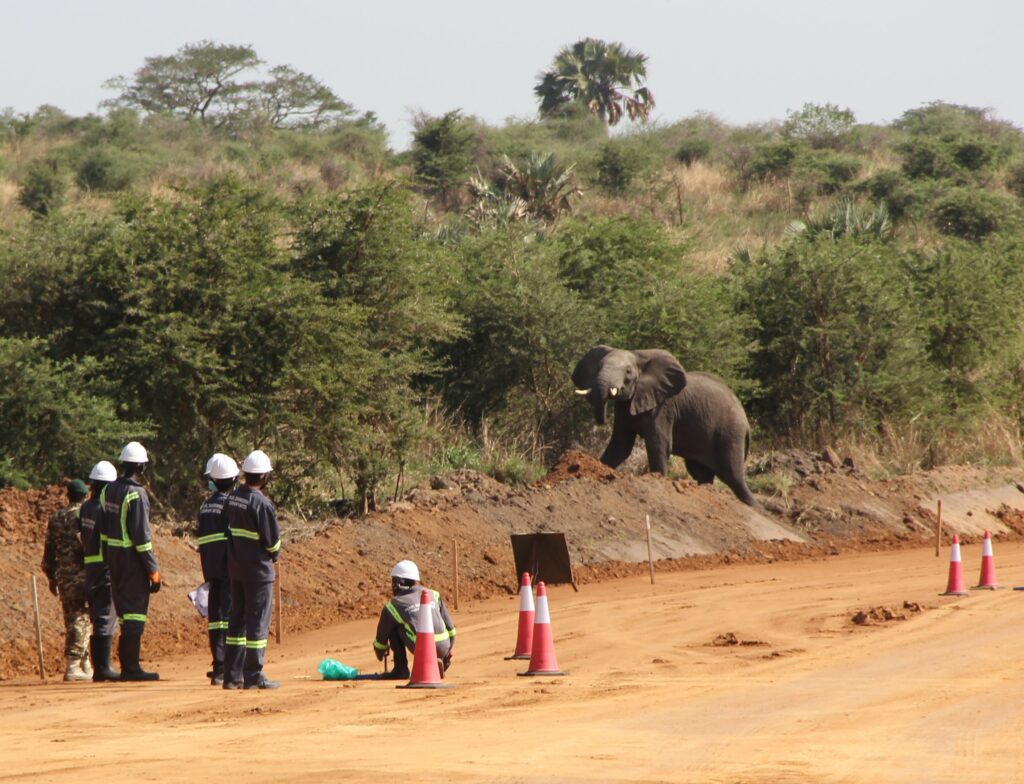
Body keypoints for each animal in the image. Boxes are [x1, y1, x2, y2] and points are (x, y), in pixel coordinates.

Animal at [573, 345, 757, 507]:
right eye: (598, 367)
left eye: (628, 372)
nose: (601, 422)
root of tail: (746, 422)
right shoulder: (625, 407)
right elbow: (620, 446)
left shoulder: (663, 408)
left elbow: (658, 444)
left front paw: (658, 479)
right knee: (700, 472)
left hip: (731, 433)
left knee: (733, 477)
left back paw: (753, 506)